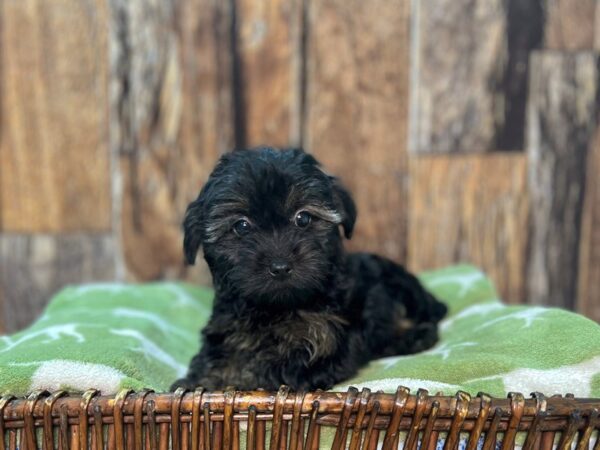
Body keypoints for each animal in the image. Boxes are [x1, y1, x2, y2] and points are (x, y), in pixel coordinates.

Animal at [171, 147, 448, 390]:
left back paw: (417, 334)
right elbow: (216, 358)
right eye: (241, 226)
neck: (275, 309)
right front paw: (198, 382)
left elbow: (275, 370)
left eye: (303, 218)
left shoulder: (327, 341)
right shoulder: (225, 329)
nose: (280, 266)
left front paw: (240, 379)